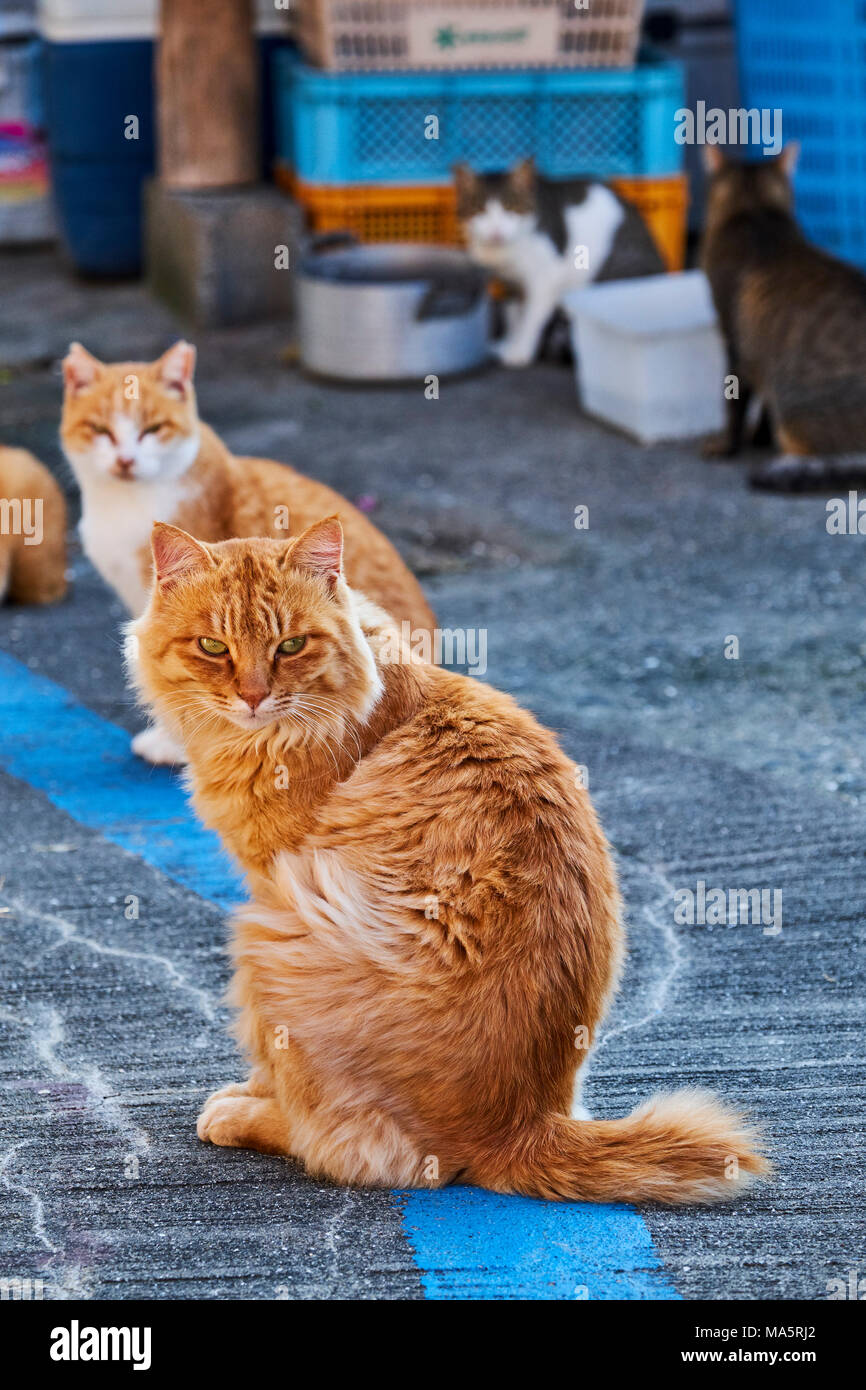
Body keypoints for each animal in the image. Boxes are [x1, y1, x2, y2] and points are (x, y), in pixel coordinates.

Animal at [125, 517, 767, 1200]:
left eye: (291, 645)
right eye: (213, 647)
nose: (253, 697)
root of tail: (523, 1124)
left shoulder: (271, 877)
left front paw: (250, 1094)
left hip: (270, 935)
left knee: (341, 1145)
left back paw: (243, 1116)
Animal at [700, 144, 866, 492]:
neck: (756, 211)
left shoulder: (734, 342)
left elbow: (734, 404)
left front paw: (727, 446)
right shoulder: (760, 354)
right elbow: (762, 402)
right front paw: (759, 436)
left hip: (797, 414)